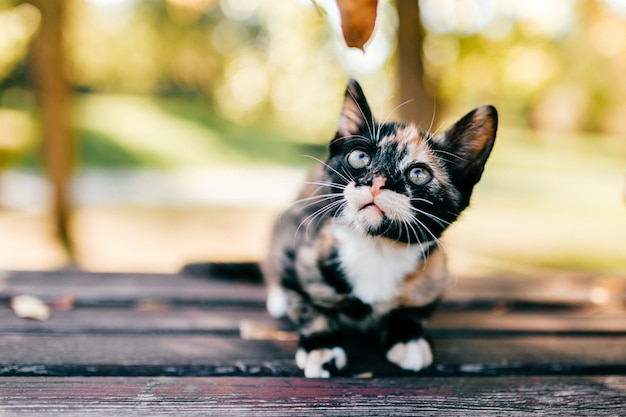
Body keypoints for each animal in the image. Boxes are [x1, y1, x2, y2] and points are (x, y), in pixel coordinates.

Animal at [260, 78, 494, 376]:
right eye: (360, 157)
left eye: (419, 173)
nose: (377, 181)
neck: (376, 248)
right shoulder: (298, 240)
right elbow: (304, 303)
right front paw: (321, 346)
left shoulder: (436, 273)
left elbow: (415, 310)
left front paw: (408, 337)